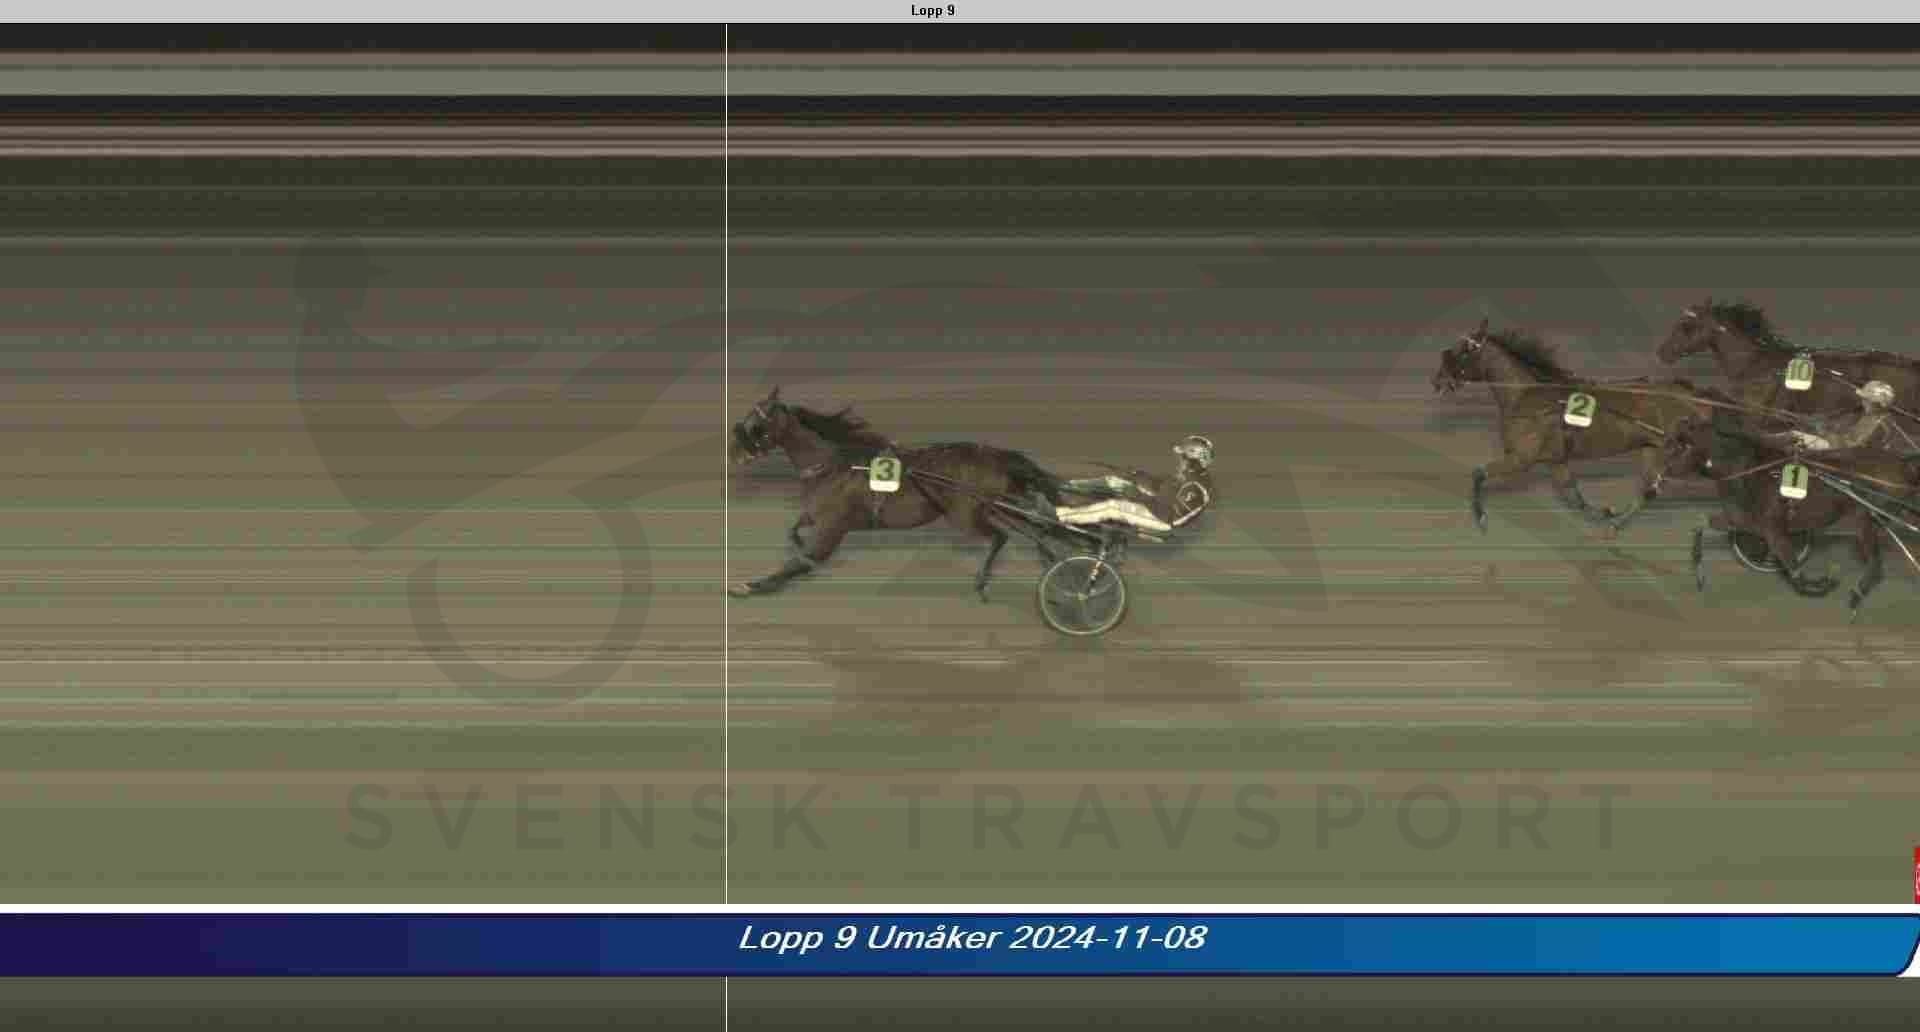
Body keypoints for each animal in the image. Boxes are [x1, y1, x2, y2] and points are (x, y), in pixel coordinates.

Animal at [727, 386, 1069, 602]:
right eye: (747, 418)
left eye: (757, 423)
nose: (734, 453)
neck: (833, 465)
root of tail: (998, 456)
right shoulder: (816, 515)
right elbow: (794, 529)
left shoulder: (833, 527)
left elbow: (798, 562)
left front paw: (750, 585)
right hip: (1000, 505)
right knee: (1035, 530)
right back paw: (1053, 562)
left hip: (966, 514)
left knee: (1001, 537)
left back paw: (986, 582)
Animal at [1432, 320, 1720, 535]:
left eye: (1463, 350)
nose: (1438, 381)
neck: (1526, 396)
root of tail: (1695, 396)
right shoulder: (1556, 460)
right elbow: (1574, 496)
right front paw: (1604, 513)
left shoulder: (1522, 458)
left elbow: (1478, 473)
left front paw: (1481, 518)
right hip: (1653, 449)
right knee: (1650, 489)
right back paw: (1616, 523)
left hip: (1679, 451)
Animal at [1658, 406, 1920, 616]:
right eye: (1669, 443)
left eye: (1678, 446)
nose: (1657, 479)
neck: (1752, 470)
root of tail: (1902, 465)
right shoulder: (1743, 520)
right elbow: (1701, 523)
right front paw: (1699, 574)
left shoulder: (1770, 528)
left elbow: (1795, 571)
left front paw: (1825, 581)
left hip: (1866, 517)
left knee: (1875, 564)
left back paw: (1855, 597)